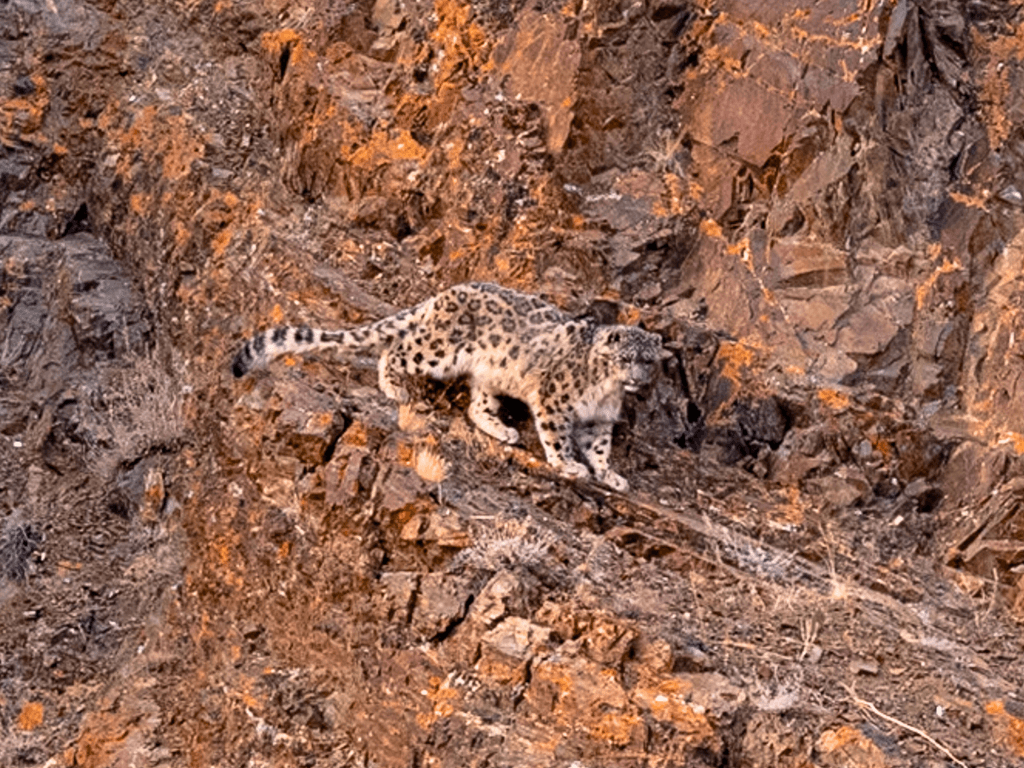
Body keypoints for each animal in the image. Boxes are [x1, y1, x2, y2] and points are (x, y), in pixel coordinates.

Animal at [231, 282, 663, 491]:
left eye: (649, 360)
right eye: (626, 358)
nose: (639, 381)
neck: (607, 390)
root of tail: (443, 294)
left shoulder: (599, 419)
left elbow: (600, 448)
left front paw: (610, 475)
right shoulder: (556, 402)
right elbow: (558, 437)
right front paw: (569, 464)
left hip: (489, 374)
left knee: (477, 405)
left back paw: (502, 429)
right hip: (438, 350)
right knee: (396, 349)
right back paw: (395, 388)